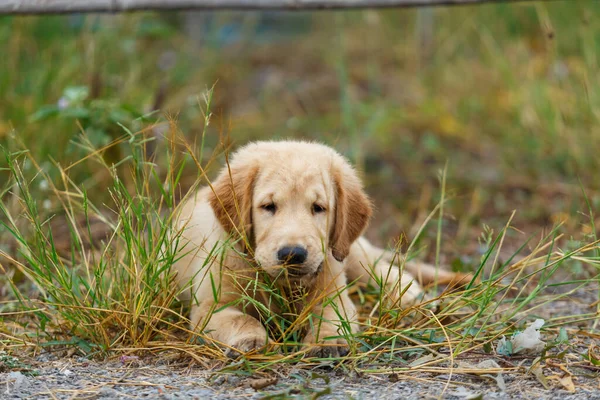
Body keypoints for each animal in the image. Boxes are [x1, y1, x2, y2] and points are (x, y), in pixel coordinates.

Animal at [171, 140, 462, 356]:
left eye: (318, 208)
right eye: (268, 206)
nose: (293, 254)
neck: (282, 285)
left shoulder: (333, 291)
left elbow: (332, 316)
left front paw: (328, 341)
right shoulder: (211, 305)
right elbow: (240, 318)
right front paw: (249, 339)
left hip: (351, 253)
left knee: (383, 268)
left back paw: (409, 296)